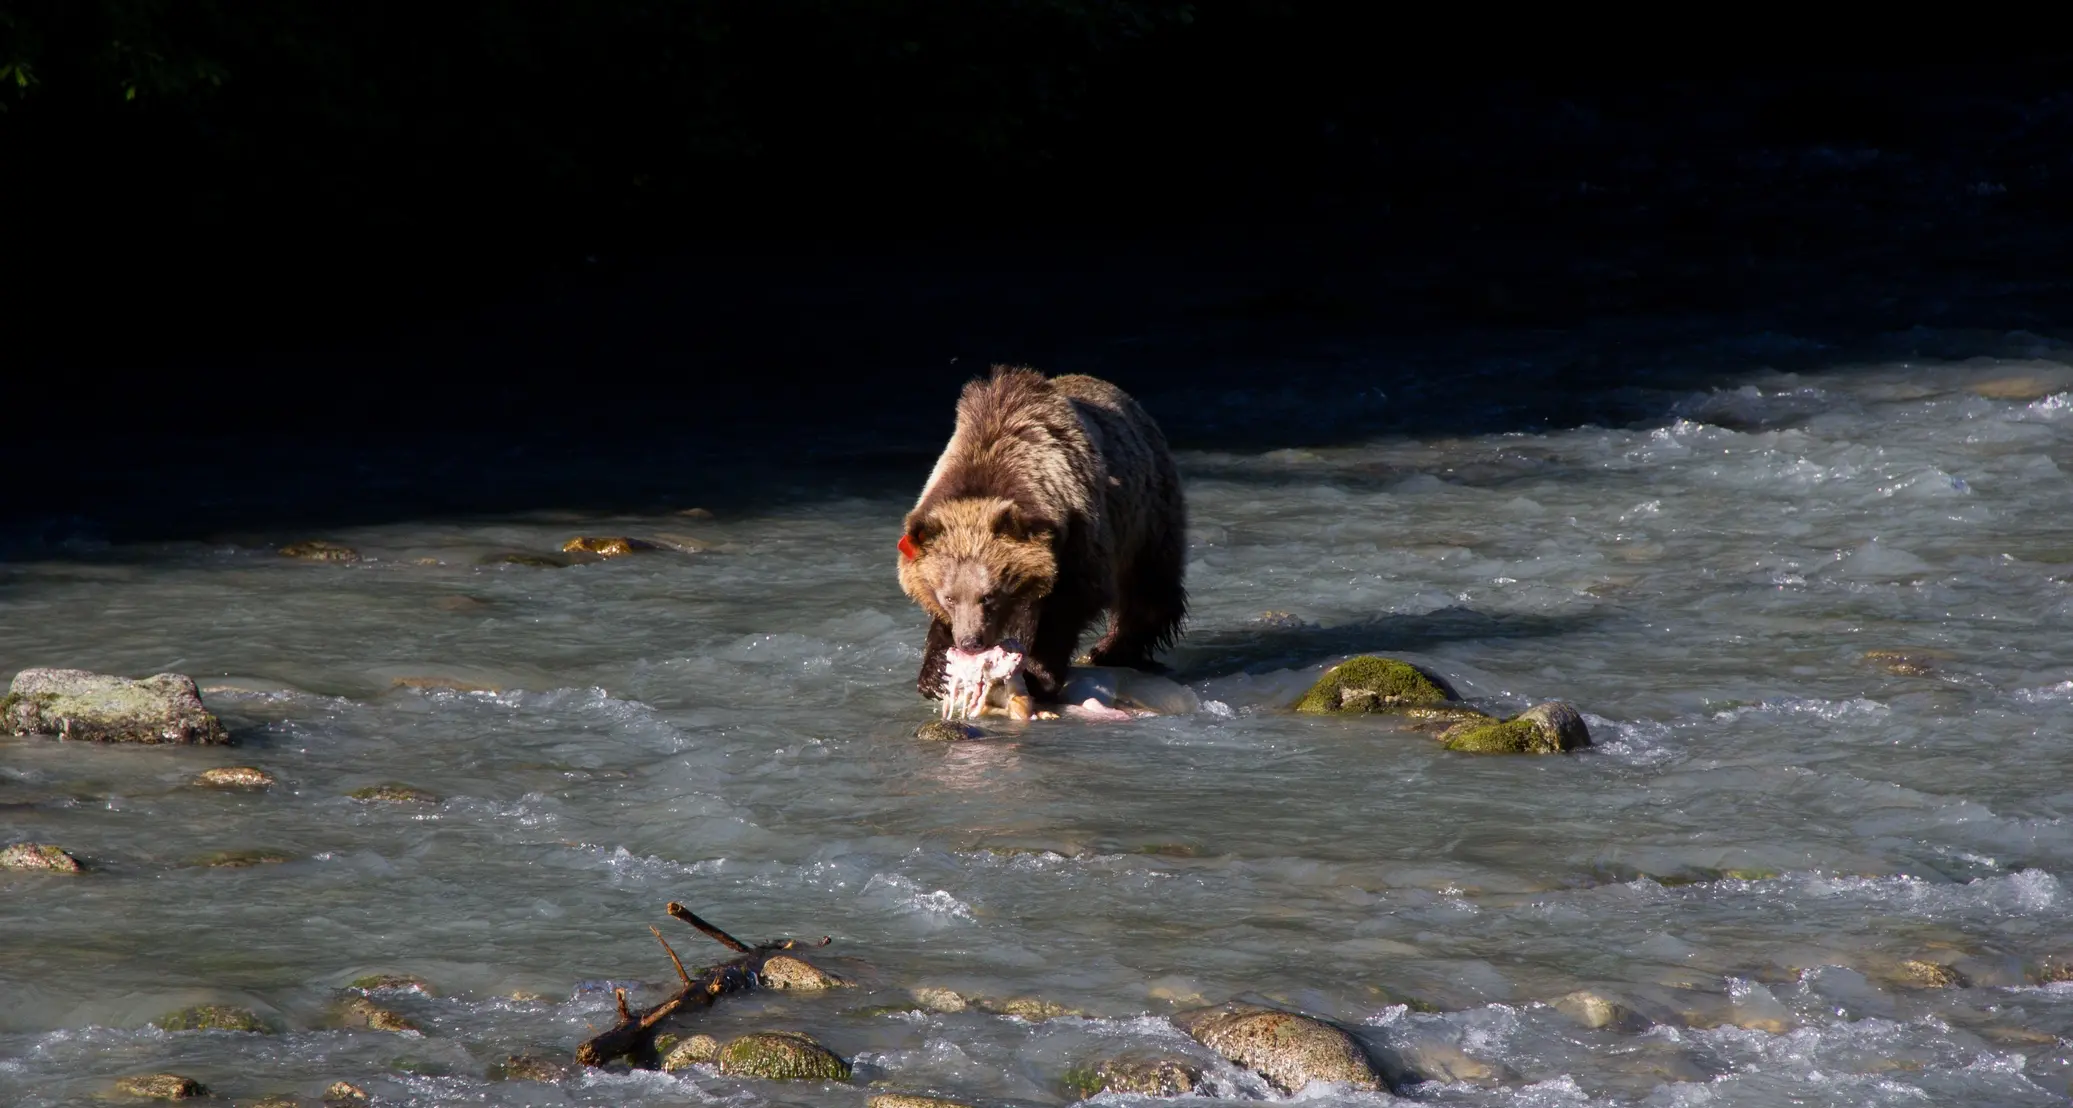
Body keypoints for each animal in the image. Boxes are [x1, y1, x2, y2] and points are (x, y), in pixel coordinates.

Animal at [897, 364, 1188, 706]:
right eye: (949, 597)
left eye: (989, 595)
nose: (971, 641)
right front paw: (936, 673)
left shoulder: (1078, 532)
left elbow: (1072, 600)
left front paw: (1038, 675)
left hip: (1147, 512)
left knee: (1147, 585)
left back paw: (1110, 649)